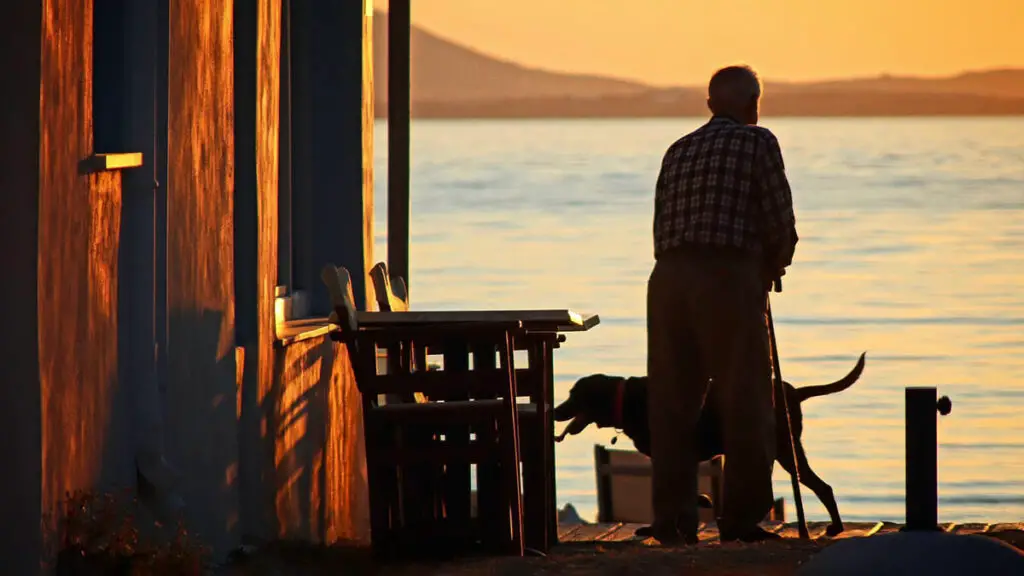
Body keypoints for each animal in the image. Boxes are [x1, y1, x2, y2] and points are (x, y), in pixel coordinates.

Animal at [557, 352, 868, 537]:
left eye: (573, 395)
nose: (555, 411)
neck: (625, 400)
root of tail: (792, 391)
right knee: (819, 486)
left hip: (784, 451)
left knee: (821, 487)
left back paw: (835, 527)